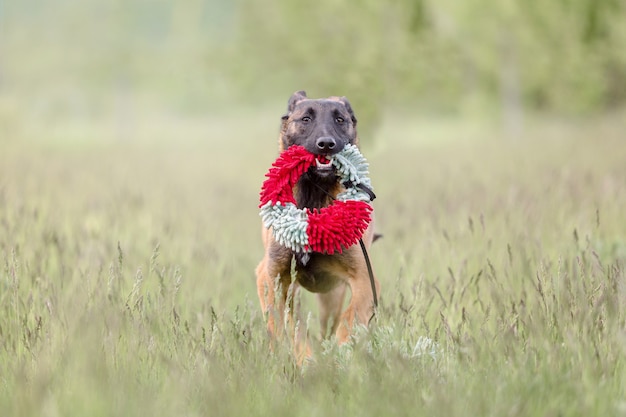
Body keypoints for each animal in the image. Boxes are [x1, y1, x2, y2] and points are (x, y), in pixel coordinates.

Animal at [255, 90, 380, 358]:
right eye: (306, 119)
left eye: (340, 120)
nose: (326, 144)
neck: (313, 199)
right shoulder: (271, 277)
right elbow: (286, 327)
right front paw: (302, 358)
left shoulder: (364, 279)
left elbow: (351, 317)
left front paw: (342, 352)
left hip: (331, 295)